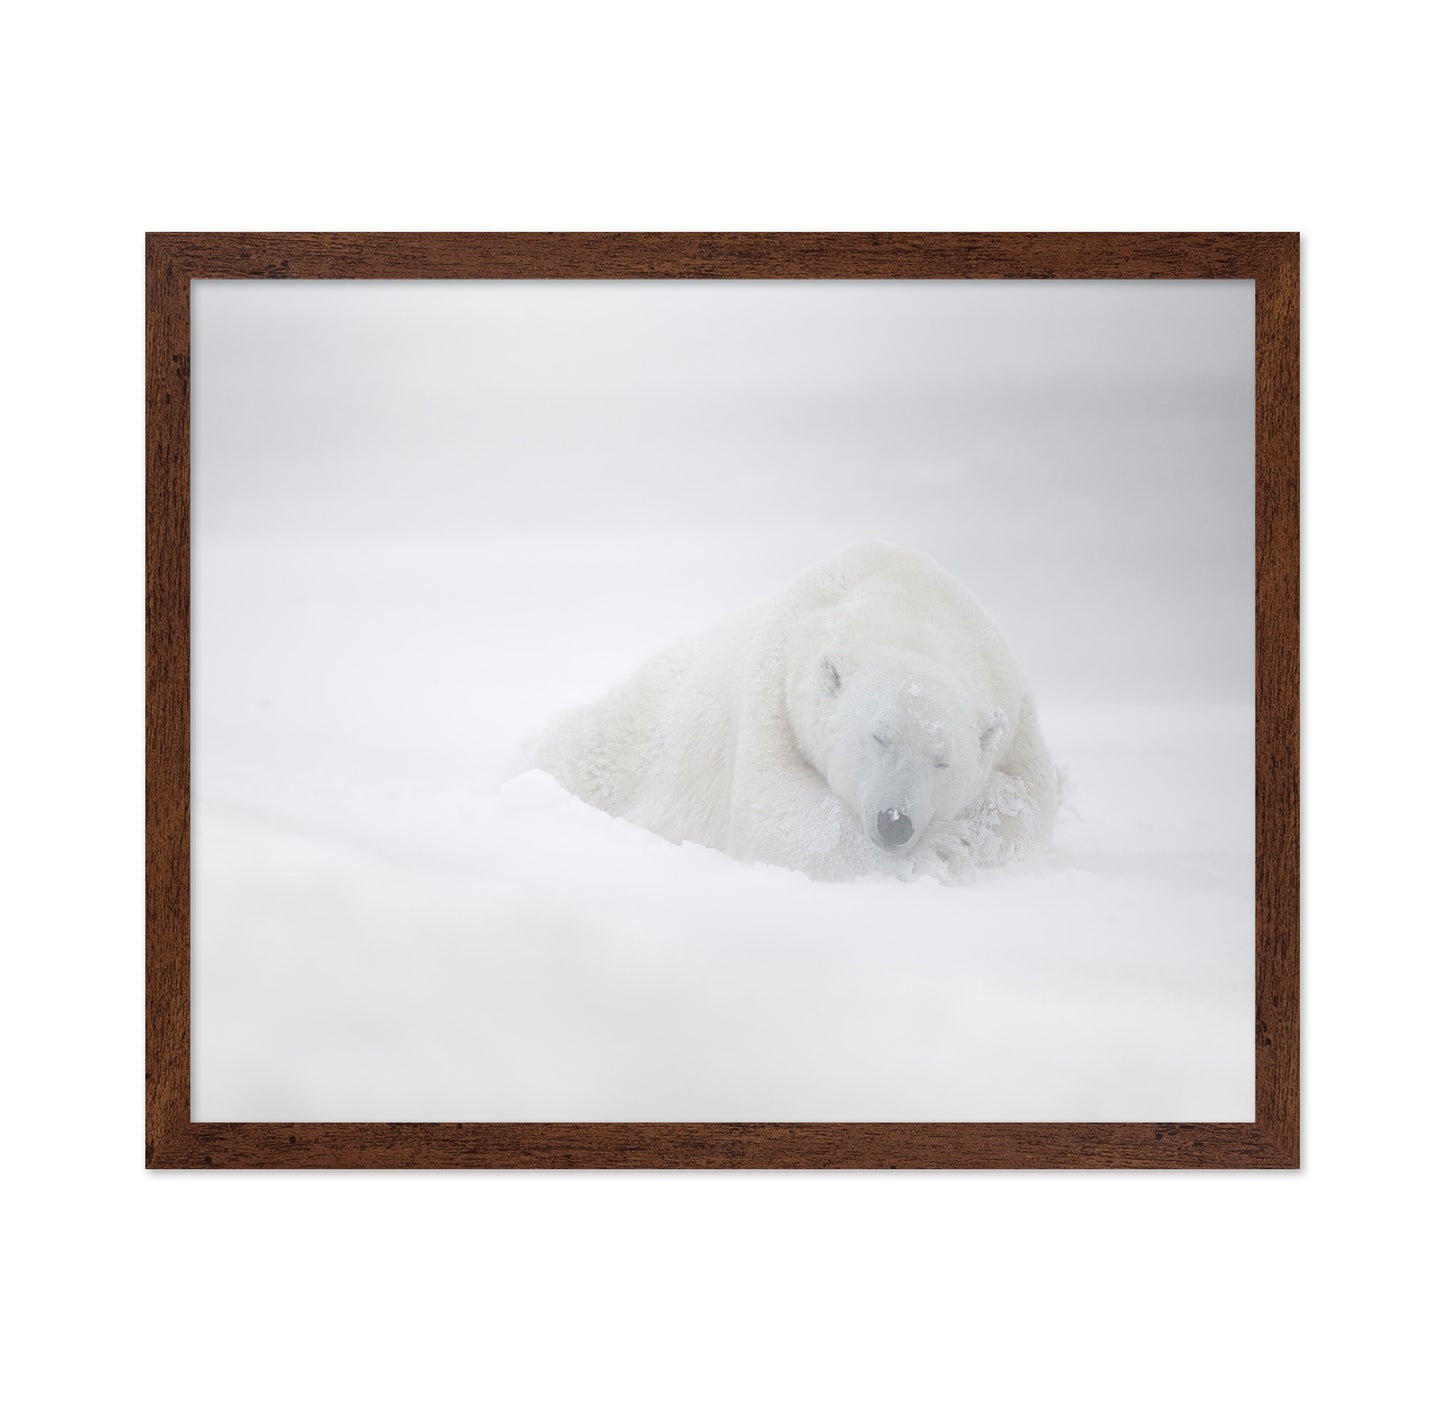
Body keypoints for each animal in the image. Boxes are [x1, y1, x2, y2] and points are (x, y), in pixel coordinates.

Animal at [533, 542, 1058, 883]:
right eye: (878, 737)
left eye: (942, 760)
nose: (895, 821)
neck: (905, 603)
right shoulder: (776, 686)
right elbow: (772, 810)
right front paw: (943, 845)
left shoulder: (1012, 699)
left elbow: (1030, 799)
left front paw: (970, 836)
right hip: (636, 735)